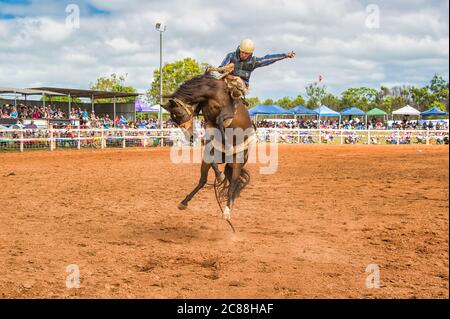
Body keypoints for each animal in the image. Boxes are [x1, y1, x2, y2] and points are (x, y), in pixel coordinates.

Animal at [162, 74, 255, 225]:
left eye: (180, 115)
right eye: (174, 120)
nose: (190, 136)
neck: (212, 92)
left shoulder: (227, 114)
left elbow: (220, 121)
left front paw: (227, 144)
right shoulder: (208, 121)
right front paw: (219, 174)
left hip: (238, 162)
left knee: (233, 183)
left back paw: (227, 211)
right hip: (206, 162)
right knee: (203, 180)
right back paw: (184, 202)